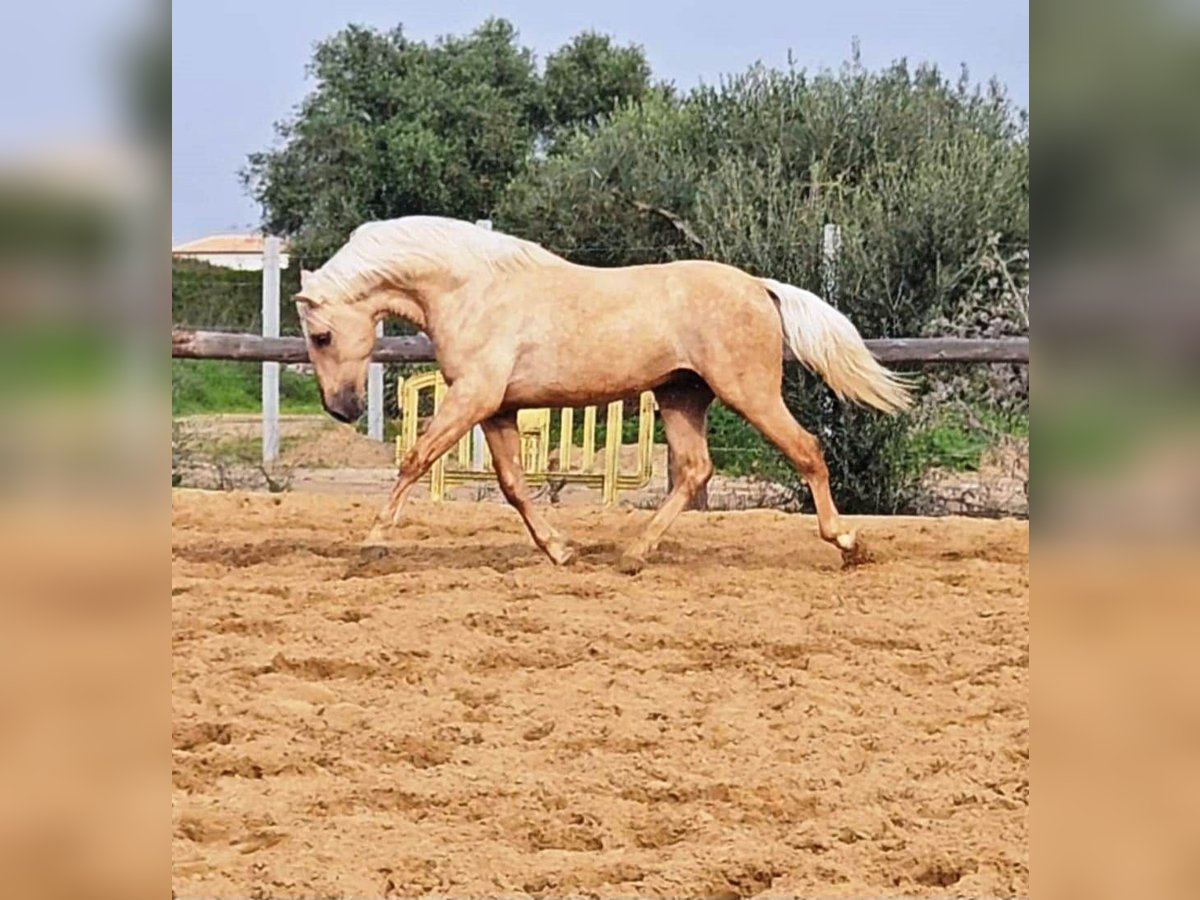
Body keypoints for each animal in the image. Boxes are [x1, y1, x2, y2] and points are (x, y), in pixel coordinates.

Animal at [292, 216, 907, 573]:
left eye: (321, 336)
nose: (341, 409)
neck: (472, 289)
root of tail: (759, 286)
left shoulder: (472, 398)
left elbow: (416, 459)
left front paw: (371, 544)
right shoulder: (498, 410)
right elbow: (514, 486)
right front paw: (561, 550)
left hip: (748, 392)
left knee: (806, 450)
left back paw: (848, 543)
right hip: (682, 397)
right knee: (694, 471)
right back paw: (634, 554)